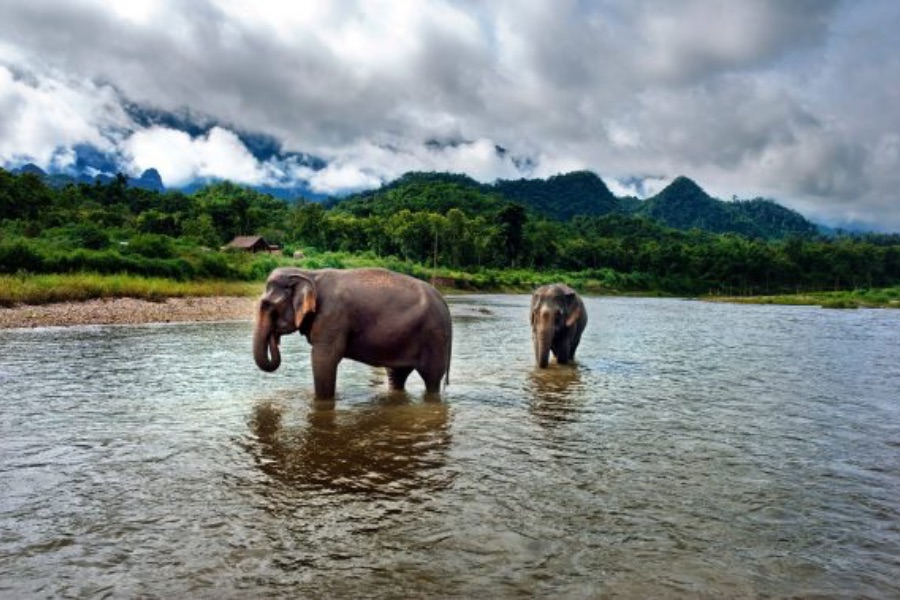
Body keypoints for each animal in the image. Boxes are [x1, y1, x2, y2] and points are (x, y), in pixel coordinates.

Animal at [251, 268, 450, 398]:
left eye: (267, 305)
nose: (275, 337)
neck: (309, 274)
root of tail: (443, 300)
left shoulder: (332, 316)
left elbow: (324, 358)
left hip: (435, 337)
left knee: (432, 379)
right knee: (397, 375)